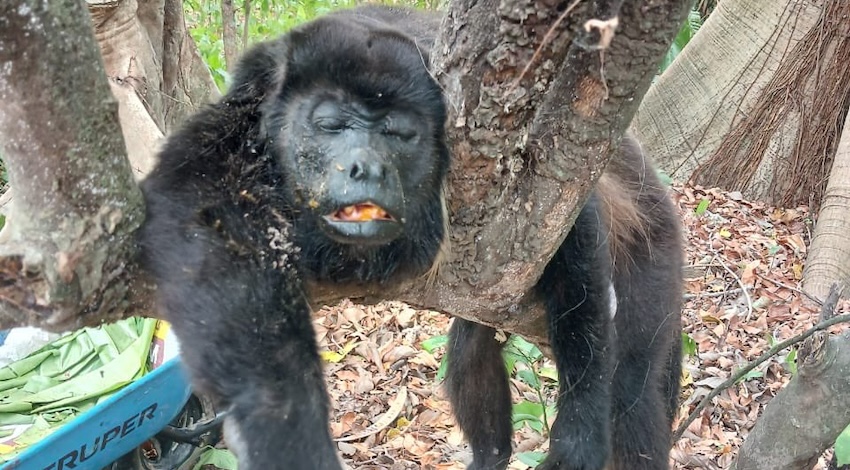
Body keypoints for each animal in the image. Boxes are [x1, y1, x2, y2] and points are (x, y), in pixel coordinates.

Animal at [139, 4, 684, 470]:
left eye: (399, 134)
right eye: (330, 124)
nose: (366, 167)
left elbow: (572, 224)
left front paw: (578, 437)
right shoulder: (246, 109)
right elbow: (198, 214)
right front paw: (286, 426)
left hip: (658, 255)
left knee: (632, 385)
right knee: (471, 343)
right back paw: (490, 456)